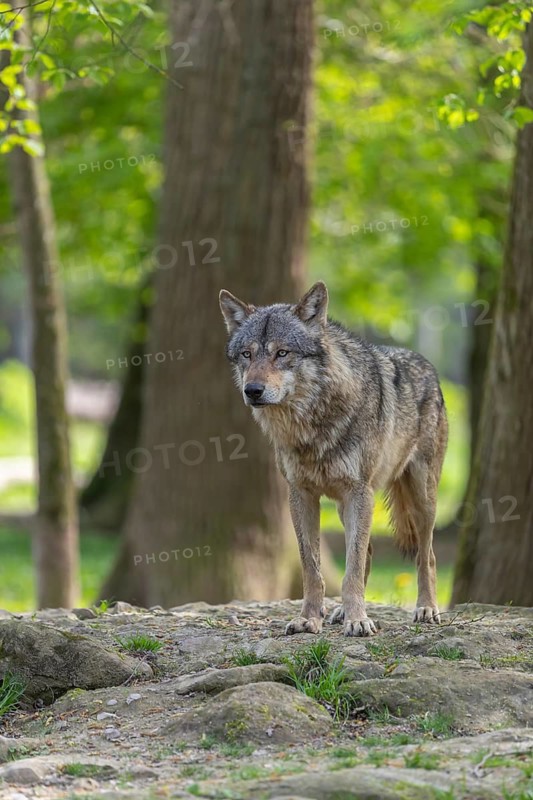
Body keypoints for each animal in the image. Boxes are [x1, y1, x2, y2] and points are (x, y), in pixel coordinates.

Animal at [219, 281, 448, 637]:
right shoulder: (301, 496)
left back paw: (426, 608)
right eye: (247, 354)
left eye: (282, 353)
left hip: (421, 500)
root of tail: (427, 365)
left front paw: (358, 621)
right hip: (344, 507)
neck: (311, 427)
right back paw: (342, 610)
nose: (252, 390)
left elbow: (351, 567)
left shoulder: (358, 492)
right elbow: (312, 568)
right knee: (369, 552)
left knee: (427, 556)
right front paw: (310, 619)